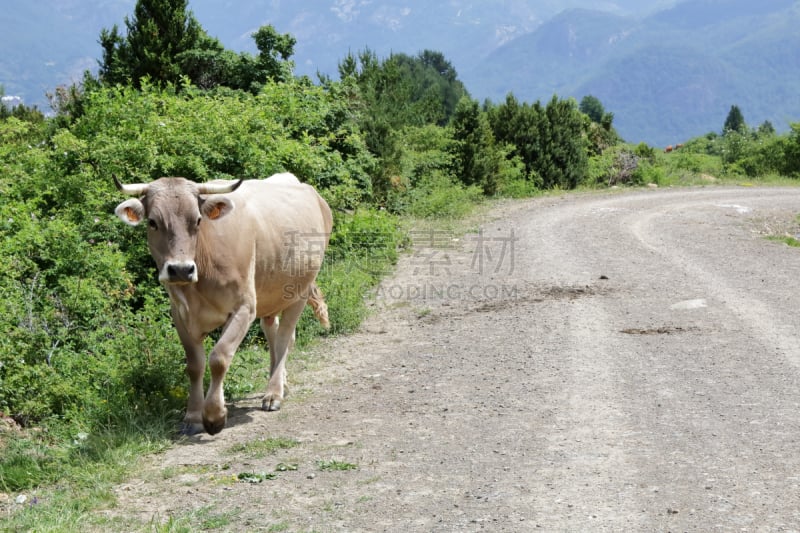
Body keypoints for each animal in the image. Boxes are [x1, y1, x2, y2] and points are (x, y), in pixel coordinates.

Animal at [112, 172, 332, 434]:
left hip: (299, 291)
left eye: (198, 220)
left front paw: (214, 416)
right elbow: (194, 365)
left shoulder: (244, 308)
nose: (180, 269)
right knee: (272, 330)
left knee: (285, 338)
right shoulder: (180, 314)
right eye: (153, 222)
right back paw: (279, 383)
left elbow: (219, 358)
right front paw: (193, 416)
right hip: (270, 292)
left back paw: (273, 393)